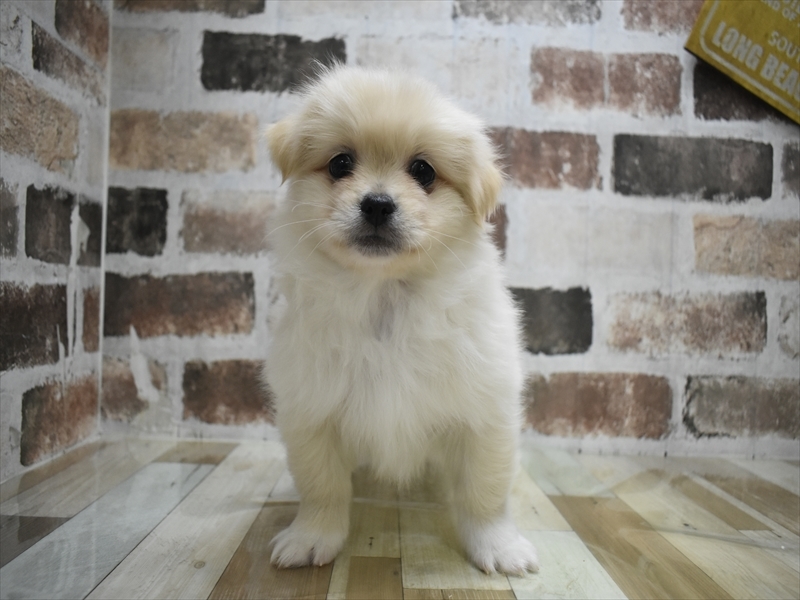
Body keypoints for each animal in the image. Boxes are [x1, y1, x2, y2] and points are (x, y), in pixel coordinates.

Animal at [263, 65, 538, 575]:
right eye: (340, 164)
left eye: (423, 171)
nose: (376, 203)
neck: (383, 299)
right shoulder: (311, 410)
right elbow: (322, 487)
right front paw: (312, 537)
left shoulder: (485, 415)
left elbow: (485, 493)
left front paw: (498, 546)